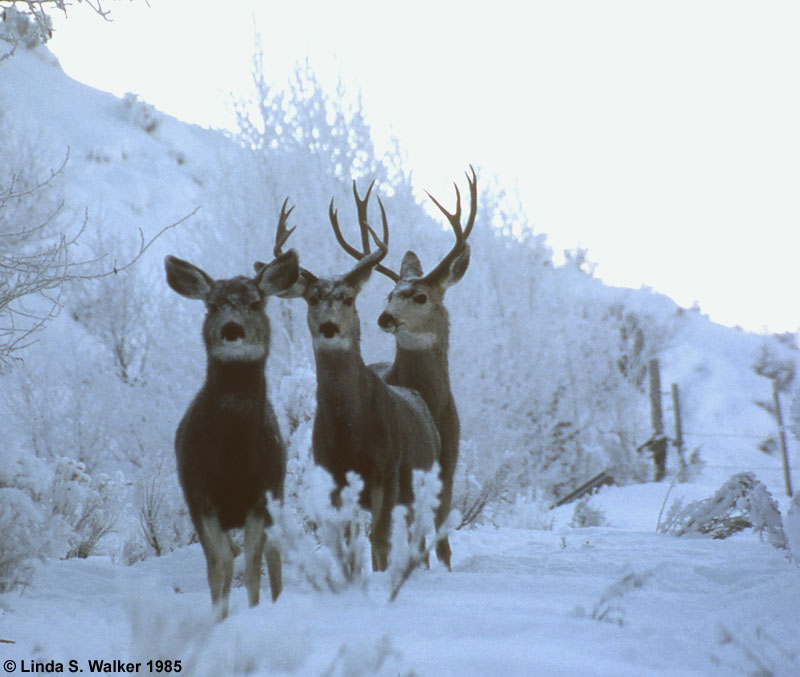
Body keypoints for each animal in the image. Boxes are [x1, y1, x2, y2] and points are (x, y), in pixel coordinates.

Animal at [164, 207, 298, 616]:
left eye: (255, 303)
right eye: (211, 305)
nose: (232, 329)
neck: (233, 454)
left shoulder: (261, 493)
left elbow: (252, 564)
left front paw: (252, 614)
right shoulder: (198, 494)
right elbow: (219, 565)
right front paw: (218, 619)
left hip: (278, 494)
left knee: (272, 555)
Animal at [260, 191, 440, 572]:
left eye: (348, 297)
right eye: (312, 298)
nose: (329, 327)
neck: (351, 427)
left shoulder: (388, 469)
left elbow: (379, 541)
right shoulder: (334, 479)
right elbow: (346, 544)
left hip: (419, 484)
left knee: (416, 537)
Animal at [330, 166, 476, 568]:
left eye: (420, 296)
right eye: (389, 294)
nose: (385, 317)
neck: (432, 399)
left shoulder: (449, 466)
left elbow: (440, 543)